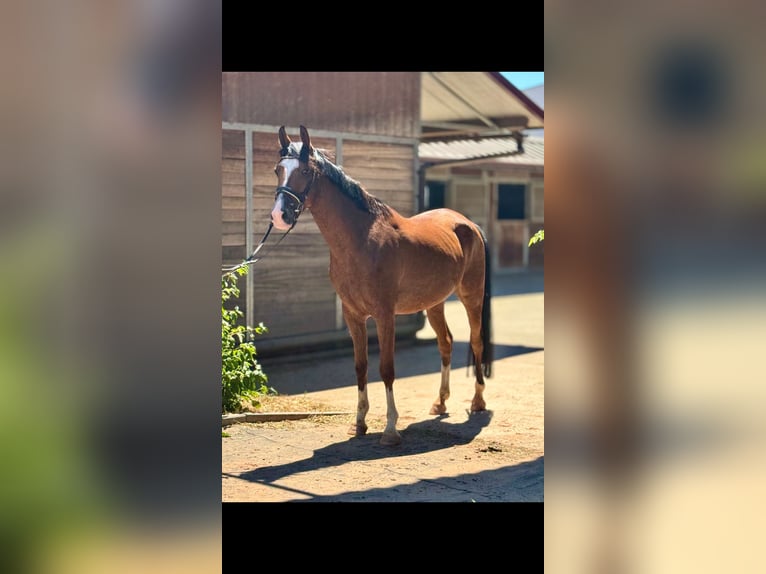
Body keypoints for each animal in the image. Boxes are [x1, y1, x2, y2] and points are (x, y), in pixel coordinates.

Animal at [270, 125, 492, 445]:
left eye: (304, 170)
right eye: (278, 169)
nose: (279, 215)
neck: (362, 240)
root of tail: (468, 224)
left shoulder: (385, 315)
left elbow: (386, 369)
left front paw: (390, 430)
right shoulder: (353, 316)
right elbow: (361, 367)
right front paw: (359, 423)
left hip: (471, 297)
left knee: (476, 341)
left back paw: (478, 402)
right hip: (434, 303)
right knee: (446, 343)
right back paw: (440, 402)